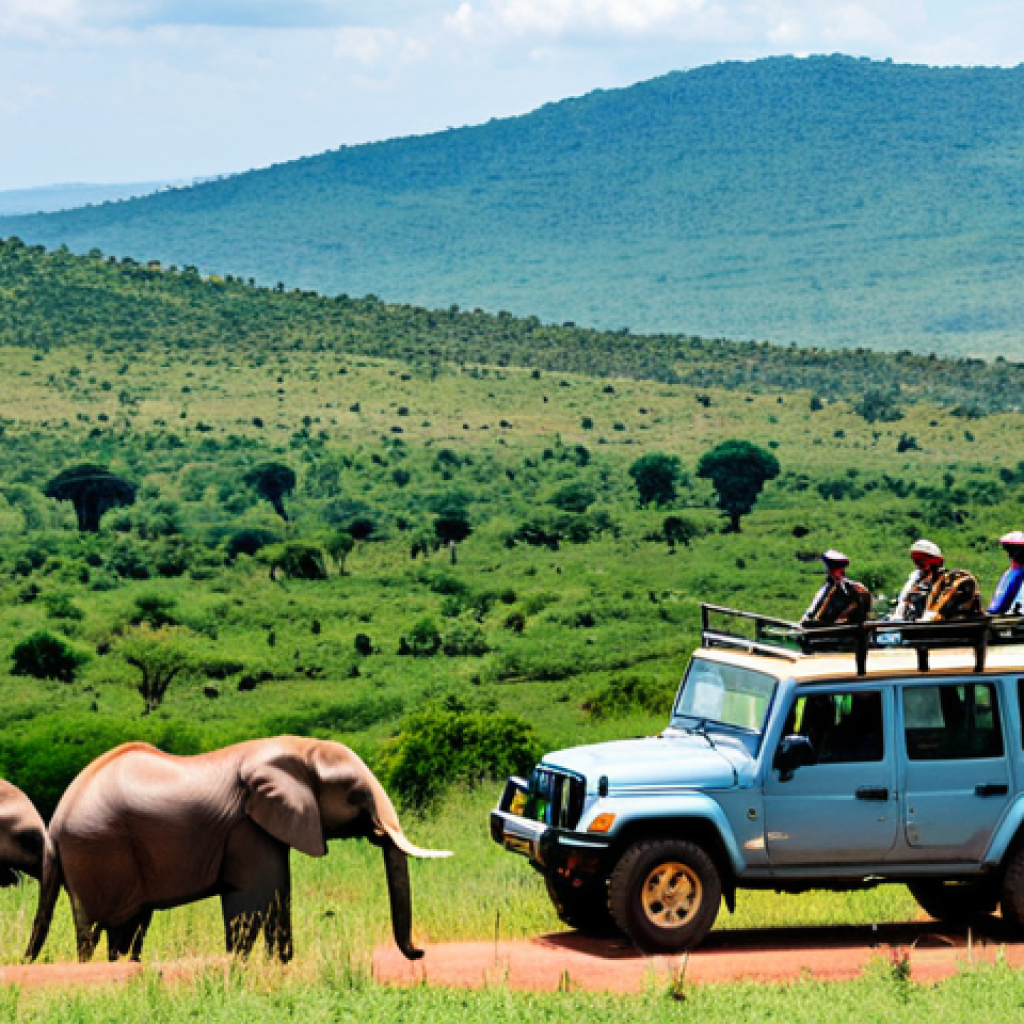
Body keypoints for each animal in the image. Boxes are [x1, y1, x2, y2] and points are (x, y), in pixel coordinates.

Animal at [26, 737, 450, 964]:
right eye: (355, 795)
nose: (420, 953)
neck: (298, 748)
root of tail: (56, 821)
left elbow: (276, 894)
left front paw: (279, 964)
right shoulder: (248, 829)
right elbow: (254, 896)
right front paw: (247, 964)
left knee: (129, 928)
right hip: (95, 852)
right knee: (93, 930)